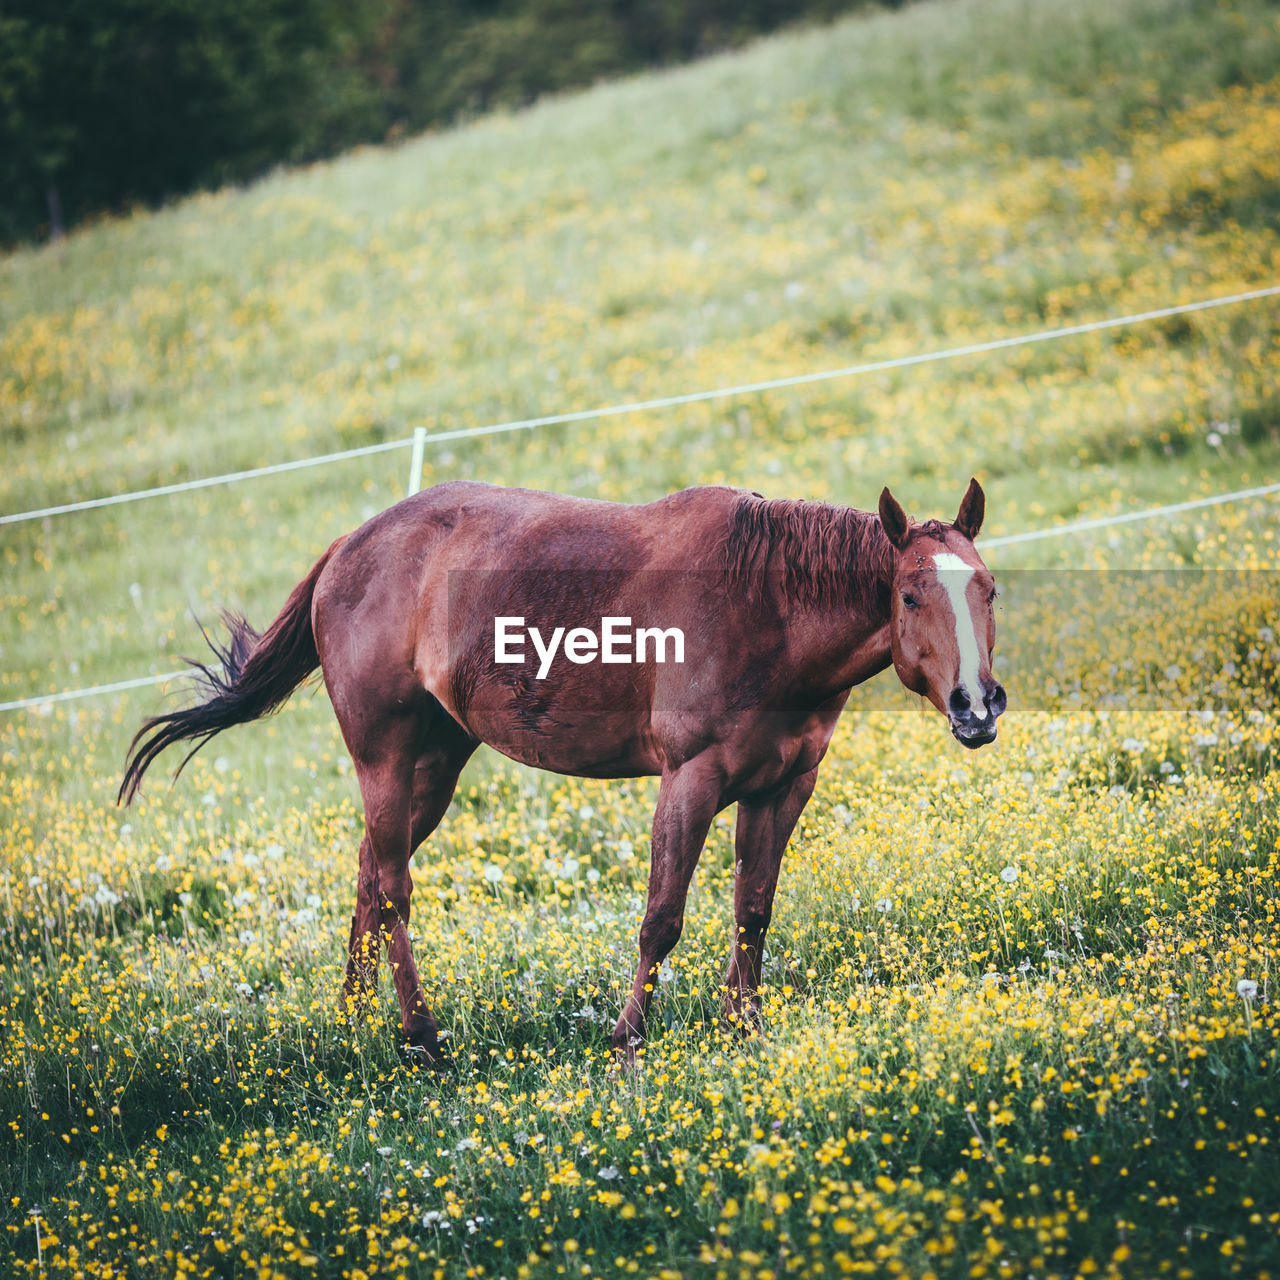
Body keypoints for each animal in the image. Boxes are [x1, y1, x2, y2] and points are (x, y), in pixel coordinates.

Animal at [117, 478, 998, 1059]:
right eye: (910, 595)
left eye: (987, 589)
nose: (976, 705)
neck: (766, 605)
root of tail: (346, 551)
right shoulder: (690, 780)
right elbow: (662, 917)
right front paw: (627, 1039)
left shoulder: (784, 787)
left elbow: (753, 910)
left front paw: (742, 1029)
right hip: (387, 757)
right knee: (394, 888)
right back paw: (423, 1037)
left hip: (434, 766)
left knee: (370, 877)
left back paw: (355, 1021)